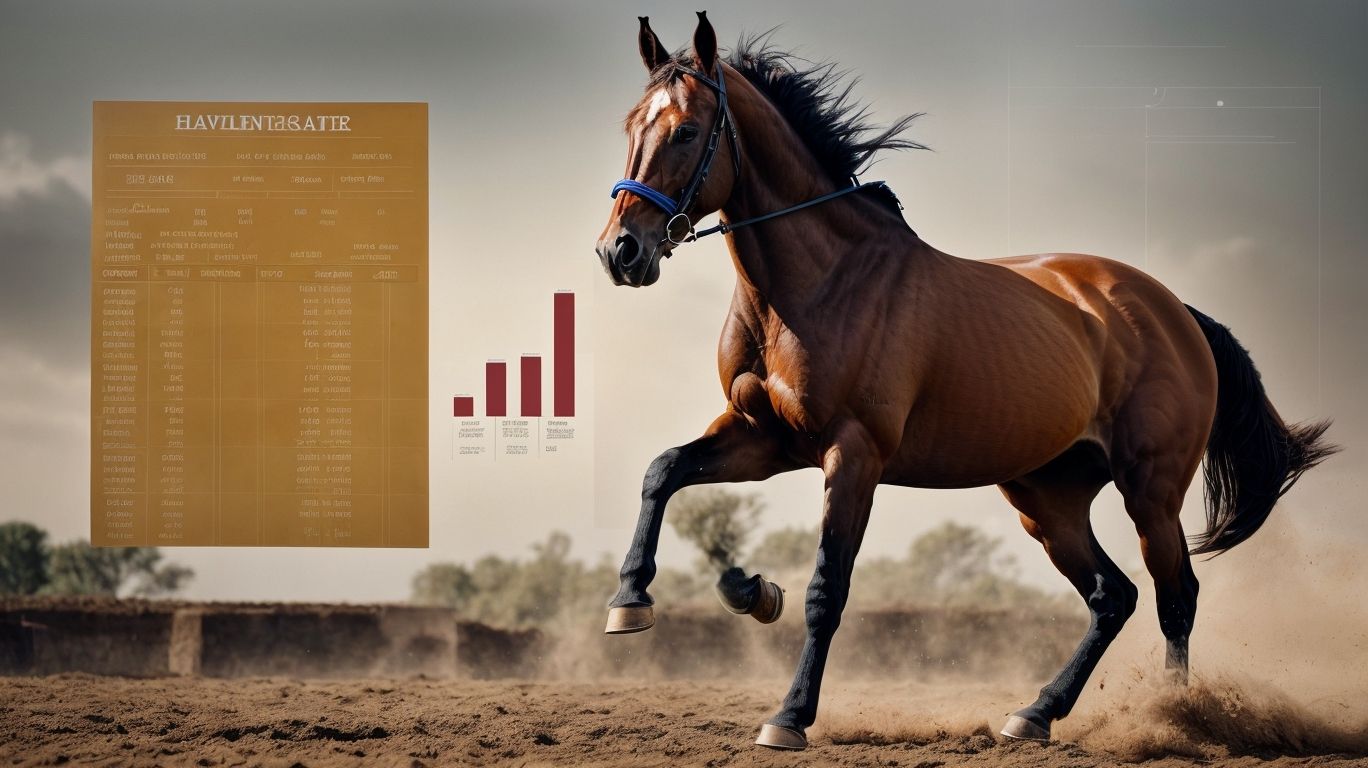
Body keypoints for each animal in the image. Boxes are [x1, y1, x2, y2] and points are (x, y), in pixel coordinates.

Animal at [594, 12, 1336, 751]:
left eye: (687, 131)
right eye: (629, 126)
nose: (619, 252)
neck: (819, 284)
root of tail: (1177, 311)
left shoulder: (852, 454)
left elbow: (826, 590)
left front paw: (789, 716)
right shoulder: (763, 437)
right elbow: (664, 471)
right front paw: (657, 599)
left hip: (1150, 492)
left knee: (1174, 597)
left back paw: (1176, 717)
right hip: (1047, 498)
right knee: (1113, 596)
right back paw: (1034, 714)